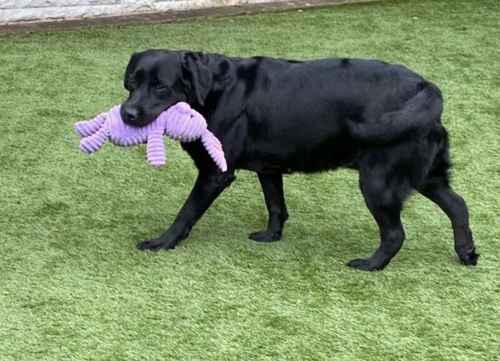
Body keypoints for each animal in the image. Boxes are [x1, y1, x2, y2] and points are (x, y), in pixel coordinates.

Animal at [119, 50, 478, 270]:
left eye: (161, 87)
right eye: (131, 83)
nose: (127, 113)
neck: (213, 89)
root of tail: (426, 87)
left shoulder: (215, 173)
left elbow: (186, 213)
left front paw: (162, 242)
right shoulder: (268, 167)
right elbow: (276, 205)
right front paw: (271, 236)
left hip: (379, 182)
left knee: (395, 233)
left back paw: (371, 265)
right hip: (426, 174)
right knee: (458, 205)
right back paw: (466, 252)